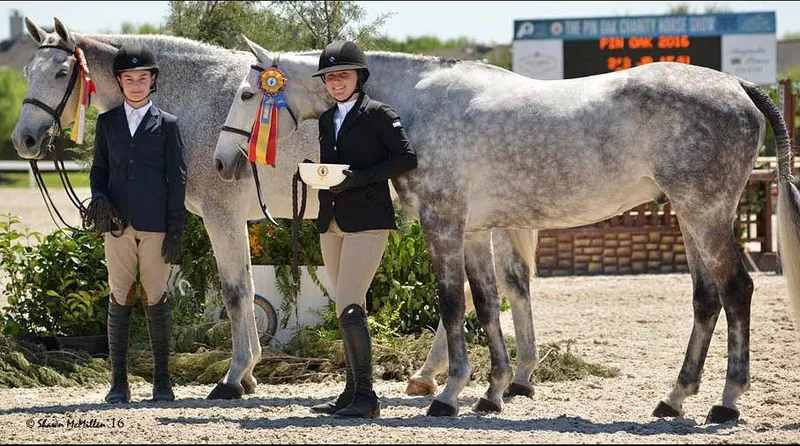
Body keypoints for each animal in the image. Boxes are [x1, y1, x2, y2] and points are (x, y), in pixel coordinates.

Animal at [10, 18, 536, 404]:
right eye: (27, 73)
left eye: (61, 73)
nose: (25, 140)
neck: (194, 102)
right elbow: (241, 289)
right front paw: (246, 376)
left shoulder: (221, 217)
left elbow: (235, 292)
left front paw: (234, 378)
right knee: (504, 286)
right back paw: (490, 378)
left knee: (475, 291)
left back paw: (443, 379)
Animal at [214, 37, 800, 422]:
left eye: (247, 94)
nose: (222, 162)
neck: (417, 104)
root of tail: (737, 85)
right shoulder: (475, 231)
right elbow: (487, 301)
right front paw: (492, 392)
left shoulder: (444, 223)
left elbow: (453, 303)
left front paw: (446, 395)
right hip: (690, 215)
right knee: (706, 298)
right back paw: (674, 399)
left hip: (707, 213)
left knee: (736, 290)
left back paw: (726, 403)